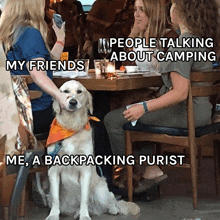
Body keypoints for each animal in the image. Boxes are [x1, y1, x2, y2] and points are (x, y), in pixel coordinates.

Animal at [45, 80, 140, 220]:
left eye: (79, 91)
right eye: (65, 91)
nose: (73, 102)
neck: (71, 126)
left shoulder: (85, 170)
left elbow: (84, 198)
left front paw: (84, 216)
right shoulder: (53, 170)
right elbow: (56, 198)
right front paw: (53, 215)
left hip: (101, 190)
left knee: (112, 199)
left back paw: (112, 209)